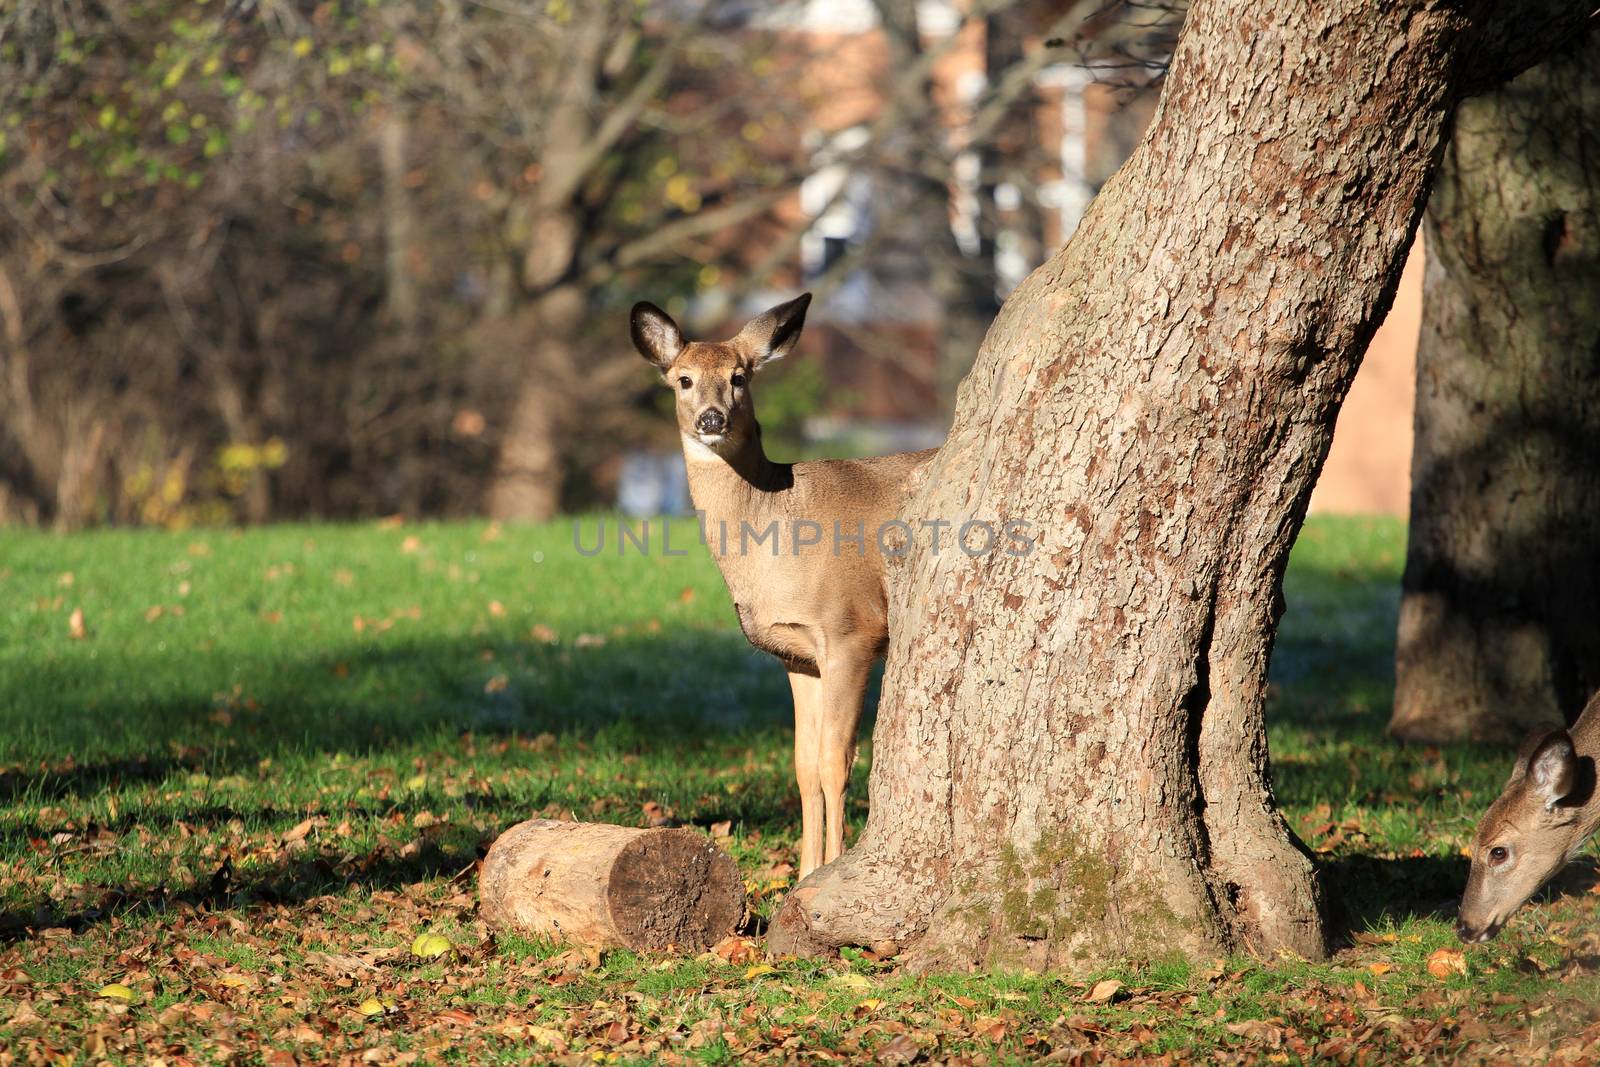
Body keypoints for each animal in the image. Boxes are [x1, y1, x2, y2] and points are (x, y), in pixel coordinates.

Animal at [624, 294, 934, 876]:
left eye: (739, 377)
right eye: (683, 379)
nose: (712, 417)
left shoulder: (852, 630)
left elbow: (837, 760)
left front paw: (830, 868)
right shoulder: (797, 654)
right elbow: (804, 765)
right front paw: (804, 874)